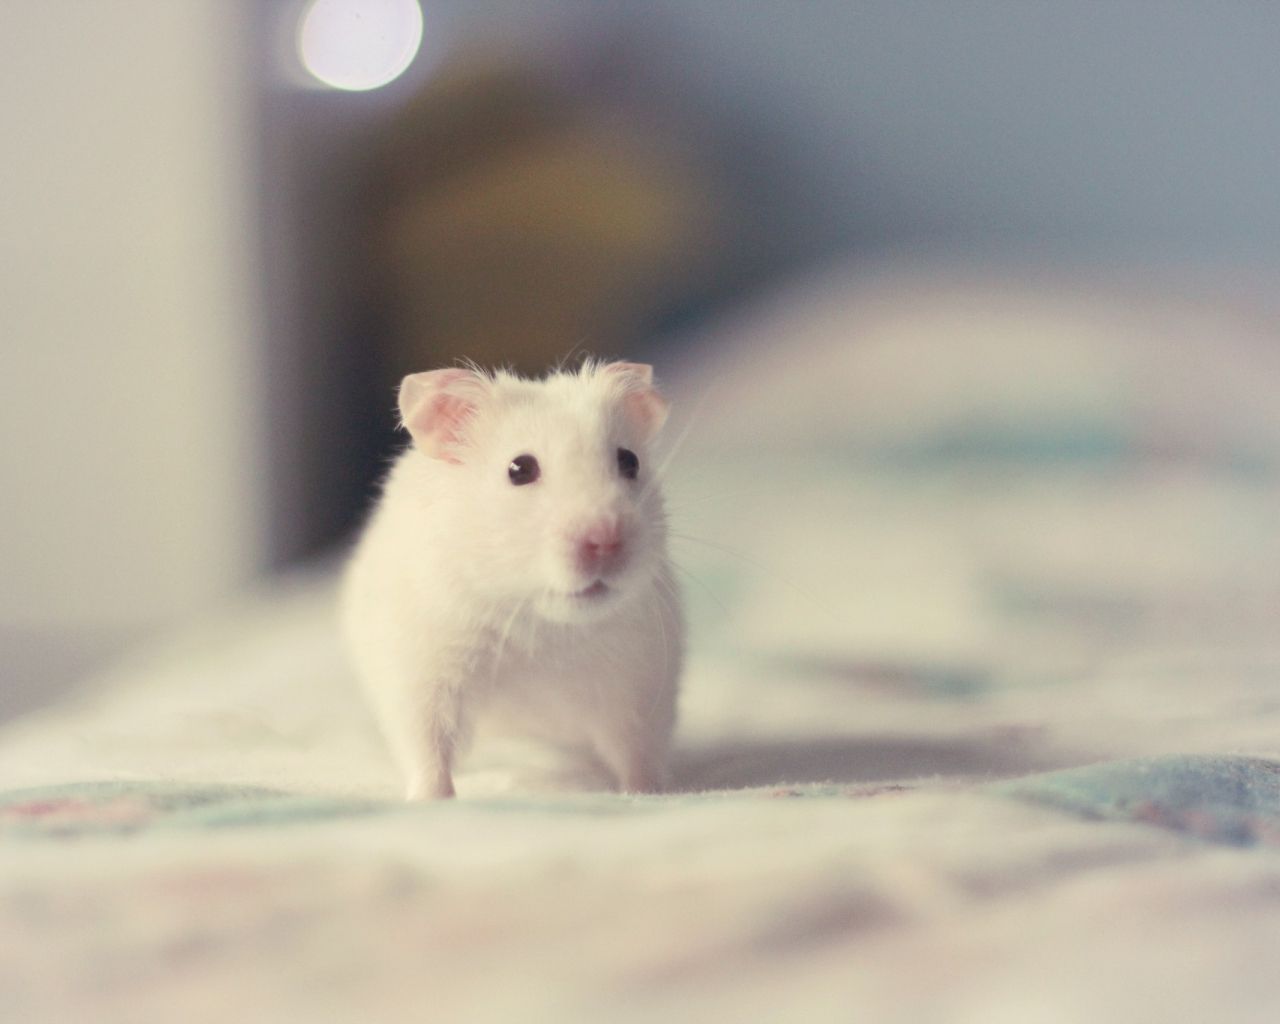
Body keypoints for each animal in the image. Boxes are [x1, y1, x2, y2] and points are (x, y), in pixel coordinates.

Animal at [340, 360, 684, 800]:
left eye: (630, 462)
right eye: (520, 469)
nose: (605, 539)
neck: (539, 624)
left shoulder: (641, 682)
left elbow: (637, 750)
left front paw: (647, 794)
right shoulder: (421, 674)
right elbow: (429, 750)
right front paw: (432, 801)